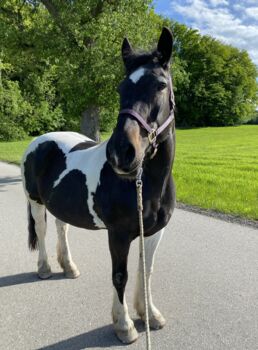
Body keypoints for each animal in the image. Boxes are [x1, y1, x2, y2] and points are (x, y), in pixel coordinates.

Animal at [21, 27, 176, 344]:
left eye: (160, 85)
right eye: (120, 88)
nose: (121, 153)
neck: (147, 186)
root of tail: (39, 141)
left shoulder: (156, 232)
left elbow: (146, 271)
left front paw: (150, 315)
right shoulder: (118, 235)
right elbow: (120, 275)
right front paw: (125, 325)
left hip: (60, 204)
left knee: (62, 227)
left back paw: (69, 267)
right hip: (35, 201)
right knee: (41, 230)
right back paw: (44, 269)